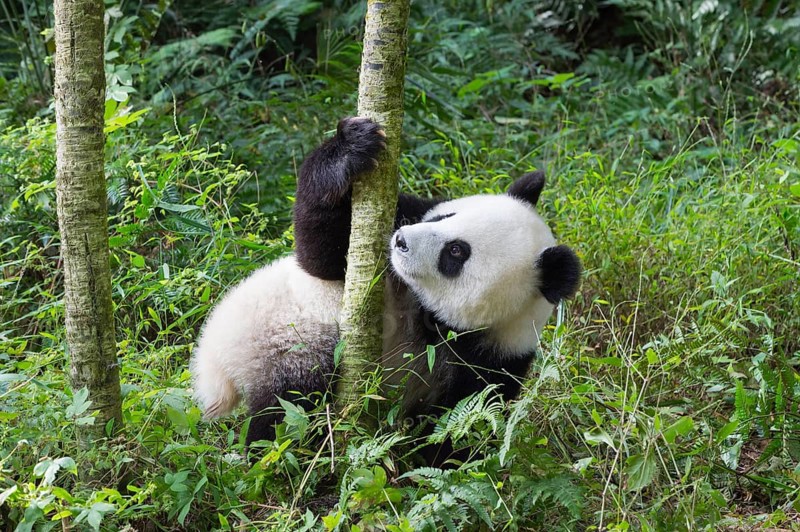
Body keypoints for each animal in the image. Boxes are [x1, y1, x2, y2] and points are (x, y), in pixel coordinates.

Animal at [190, 117, 581, 464]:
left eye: (456, 252)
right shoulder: (393, 230)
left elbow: (461, 431)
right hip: (281, 336)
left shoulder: (497, 358)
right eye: (445, 216)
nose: (401, 241)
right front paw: (352, 147)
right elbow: (322, 255)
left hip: (285, 350)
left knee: (289, 409)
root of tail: (220, 365)